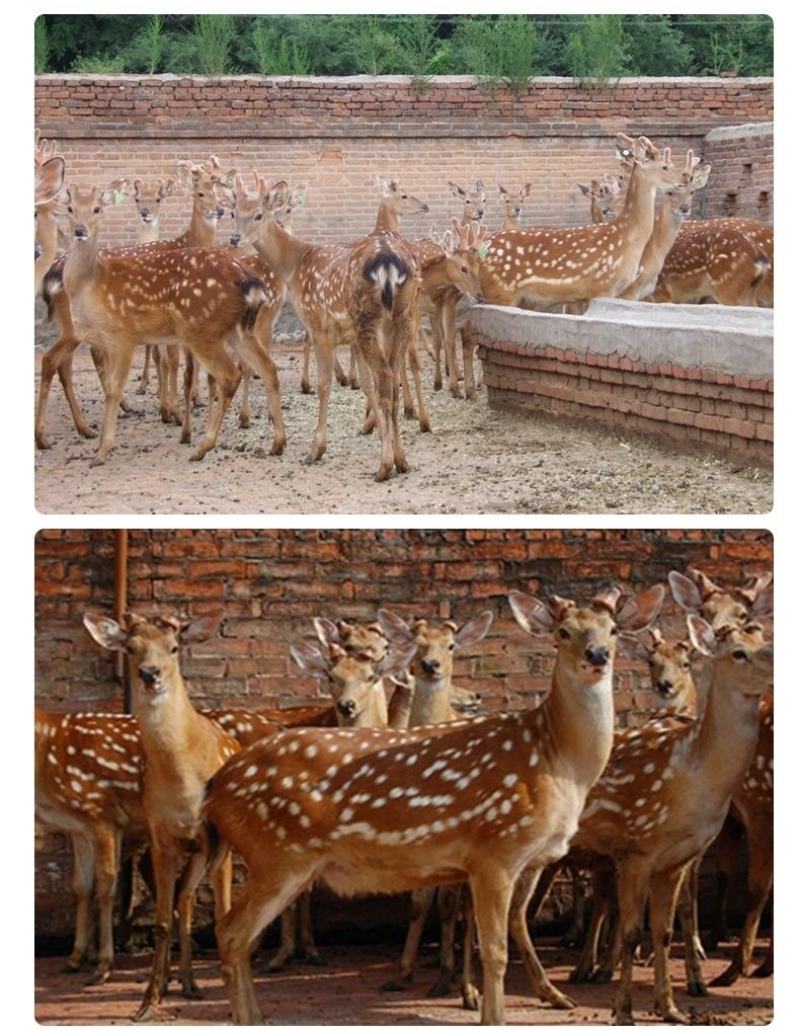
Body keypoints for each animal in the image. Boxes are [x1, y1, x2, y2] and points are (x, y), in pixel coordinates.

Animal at [204, 583, 664, 1025]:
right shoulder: (494, 851)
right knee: (230, 933)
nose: (597, 655)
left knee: (238, 936)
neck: (558, 761)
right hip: (277, 854)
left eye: (614, 630)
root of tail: (214, 786)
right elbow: (494, 953)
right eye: (563, 632)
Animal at [229, 176, 421, 481]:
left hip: (369, 319)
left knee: (387, 378)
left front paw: (316, 449)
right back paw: (401, 460)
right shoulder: (349, 336)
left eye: (258, 214)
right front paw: (378, 435)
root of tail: (389, 263)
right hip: (401, 314)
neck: (295, 266)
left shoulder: (318, 325)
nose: (234, 238)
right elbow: (365, 384)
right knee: (393, 380)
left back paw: (383, 466)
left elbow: (324, 384)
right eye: (235, 213)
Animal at [478, 135, 682, 308]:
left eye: (671, 163)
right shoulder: (603, 285)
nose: (682, 181)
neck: (627, 238)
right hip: (500, 290)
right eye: (665, 166)